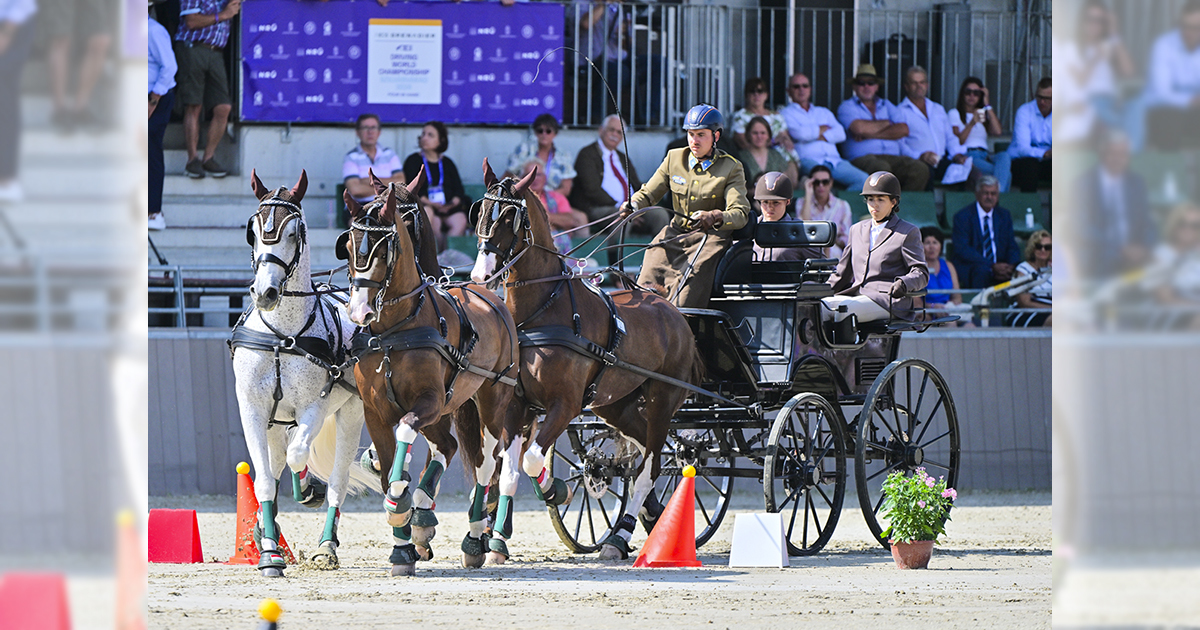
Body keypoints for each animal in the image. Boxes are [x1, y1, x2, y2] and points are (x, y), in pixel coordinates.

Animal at [231, 170, 376, 573]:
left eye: (296, 232)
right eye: (252, 231)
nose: (265, 292)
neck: (283, 335)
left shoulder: (314, 406)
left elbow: (299, 455)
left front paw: (309, 490)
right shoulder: (253, 409)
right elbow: (264, 479)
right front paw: (268, 551)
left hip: (350, 412)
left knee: (336, 478)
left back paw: (327, 544)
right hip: (276, 420)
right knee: (280, 458)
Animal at [338, 171, 525, 573]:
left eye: (384, 250)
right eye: (348, 245)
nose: (359, 311)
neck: (395, 330)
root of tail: (492, 296)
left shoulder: (430, 402)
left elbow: (406, 436)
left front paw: (403, 506)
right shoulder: (376, 412)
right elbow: (388, 467)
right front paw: (403, 545)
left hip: (492, 400)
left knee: (488, 463)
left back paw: (475, 538)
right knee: (453, 448)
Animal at [468, 160, 700, 559]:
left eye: (512, 217)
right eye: (481, 211)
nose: (480, 275)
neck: (543, 312)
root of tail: (672, 310)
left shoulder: (565, 404)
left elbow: (532, 459)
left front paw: (554, 489)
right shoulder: (517, 404)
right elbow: (511, 471)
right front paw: (496, 542)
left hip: (663, 398)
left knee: (651, 465)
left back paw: (622, 535)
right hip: (616, 405)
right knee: (642, 451)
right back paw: (647, 518)